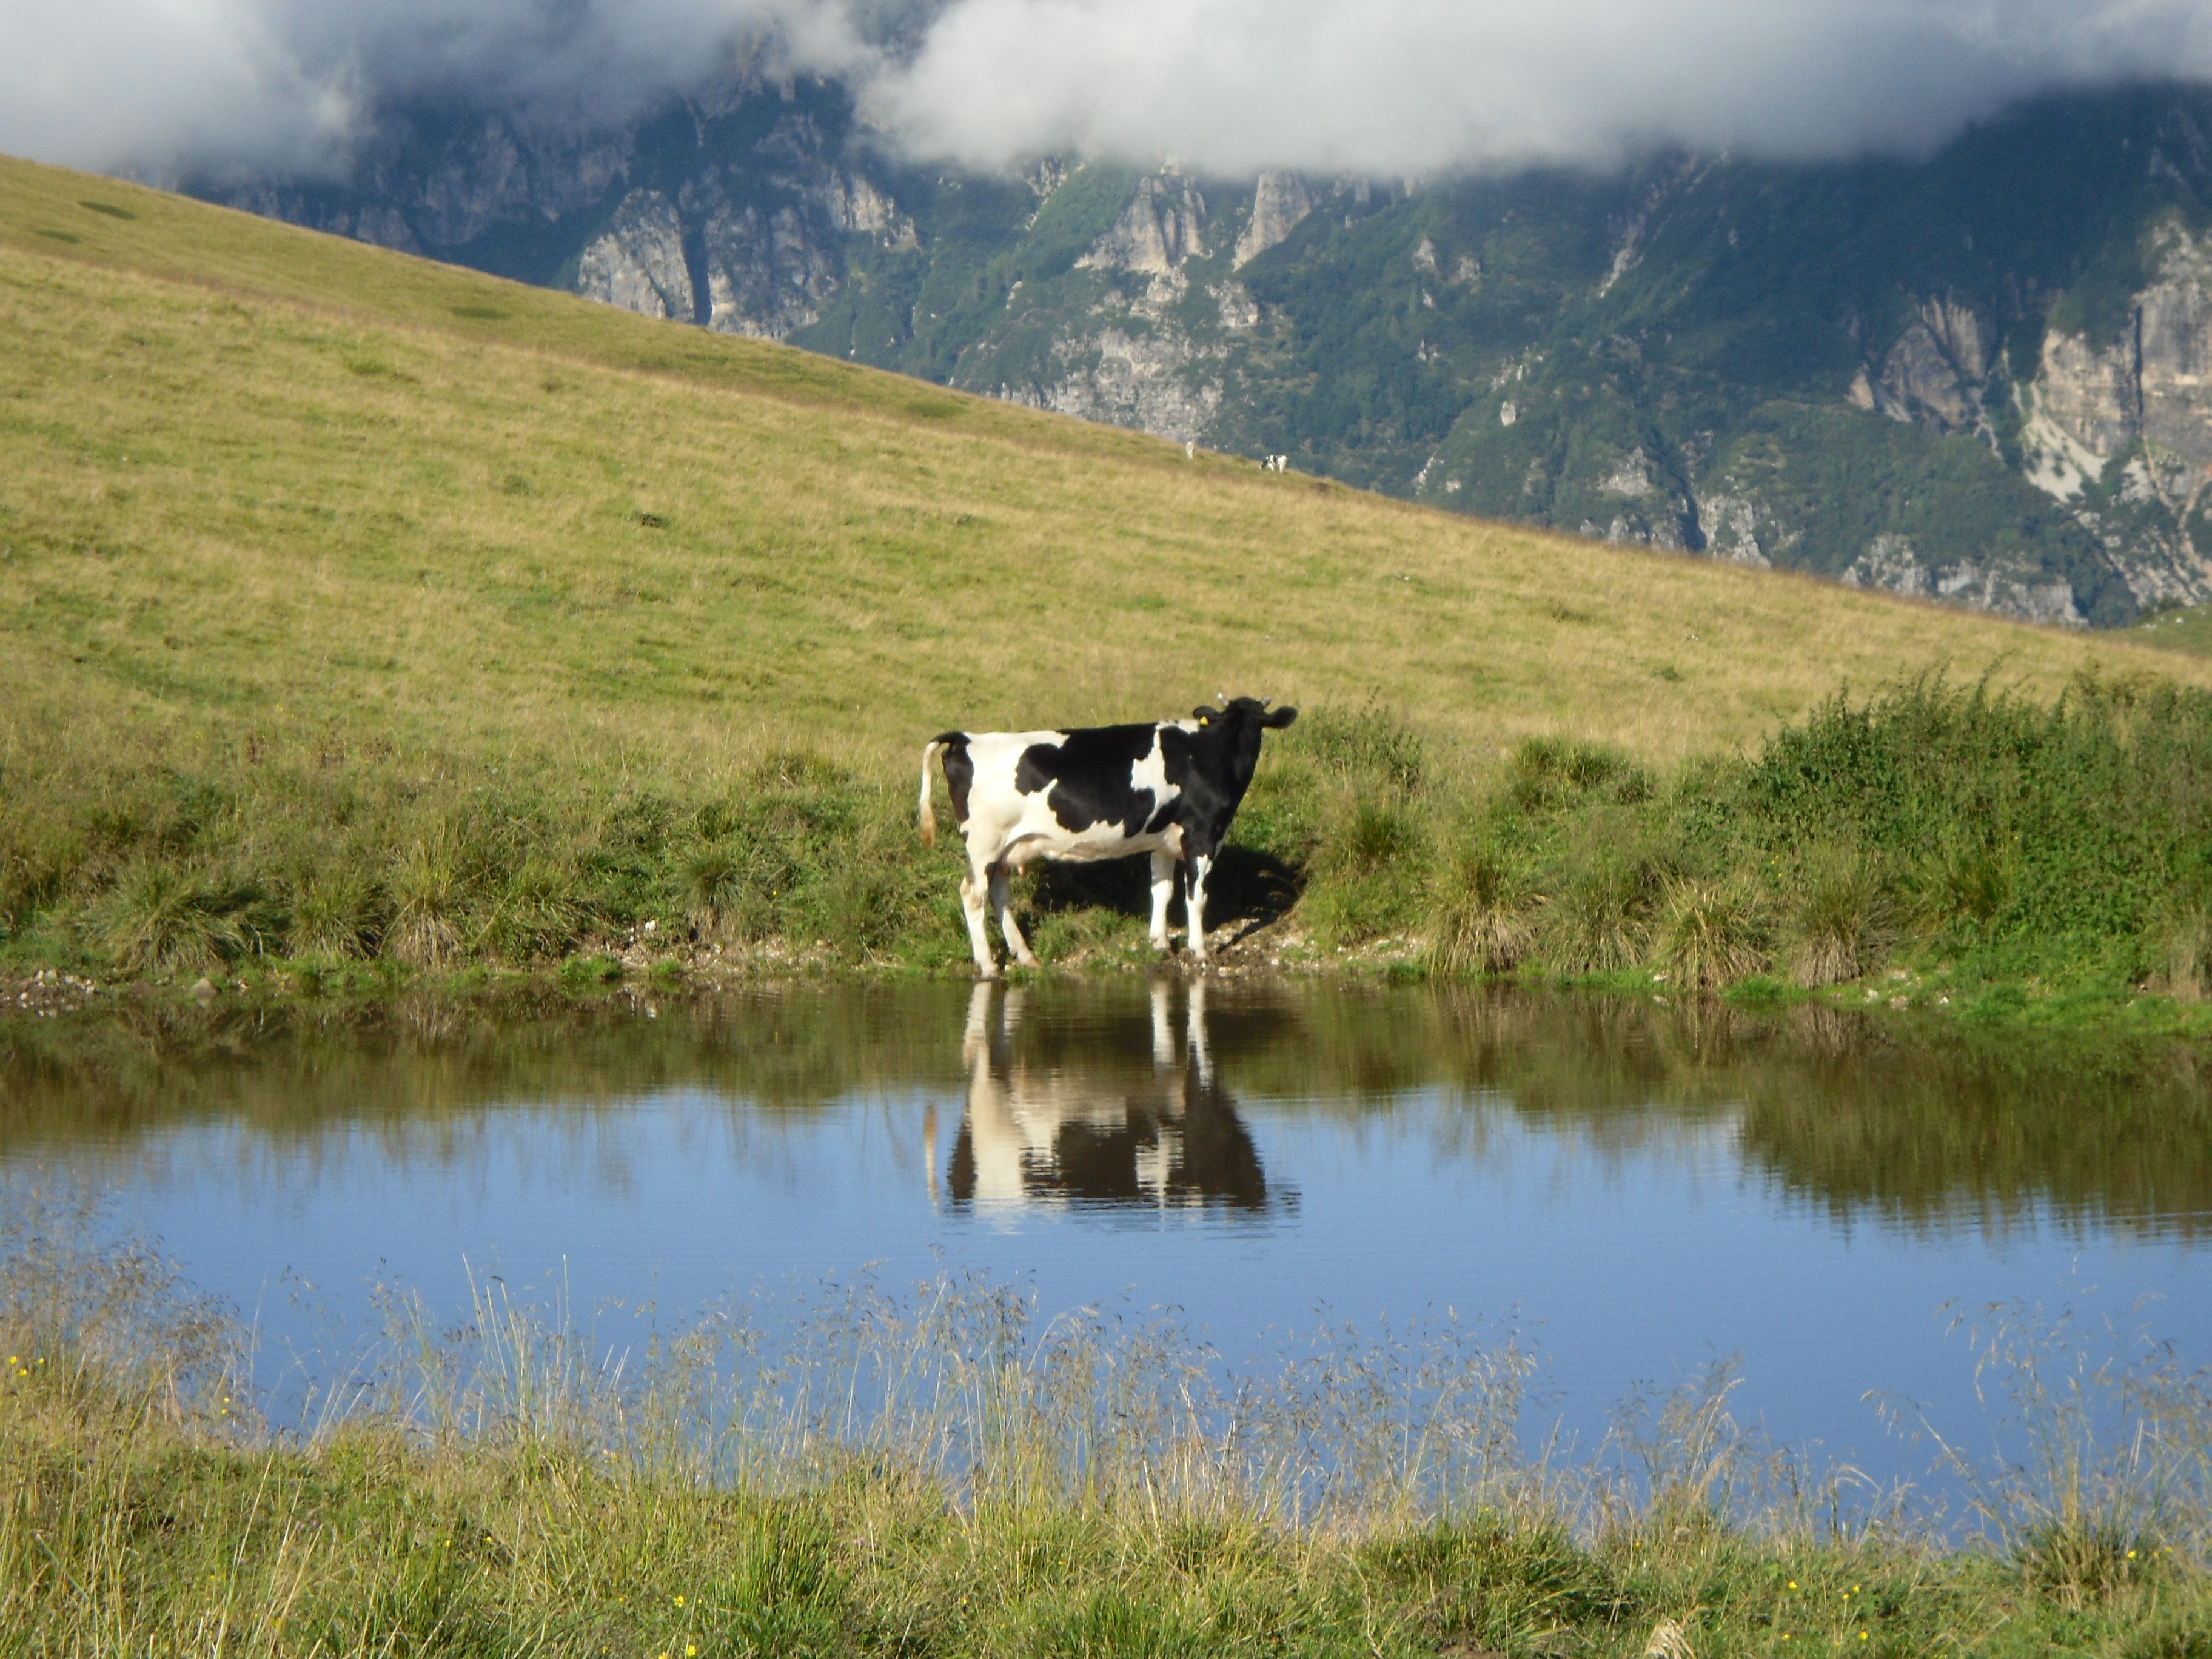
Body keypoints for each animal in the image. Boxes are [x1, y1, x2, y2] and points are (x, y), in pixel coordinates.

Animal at [916, 699, 1292, 982]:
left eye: (1258, 724)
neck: (1209, 754)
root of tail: (966, 739)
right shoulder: (1202, 835)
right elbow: (1196, 897)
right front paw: (1198, 949)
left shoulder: (1163, 840)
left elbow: (1162, 890)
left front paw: (1160, 943)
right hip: (984, 844)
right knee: (973, 895)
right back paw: (989, 965)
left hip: (1006, 848)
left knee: (999, 895)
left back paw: (1025, 956)